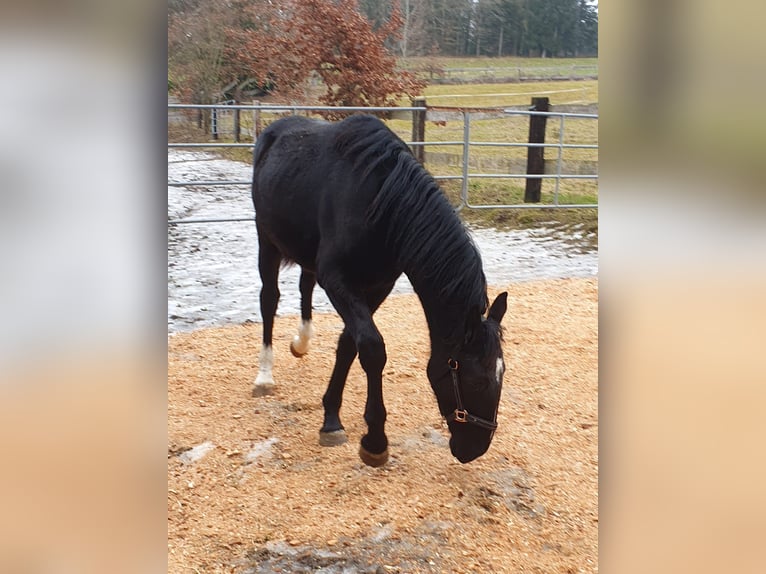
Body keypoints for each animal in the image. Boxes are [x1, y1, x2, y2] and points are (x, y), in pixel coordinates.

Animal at [252, 113, 510, 468]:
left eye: (502, 374)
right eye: (477, 380)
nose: (474, 449)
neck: (382, 205)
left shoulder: (378, 285)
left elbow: (349, 345)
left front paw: (331, 417)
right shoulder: (337, 280)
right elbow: (372, 349)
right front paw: (374, 440)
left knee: (305, 285)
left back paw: (302, 342)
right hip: (266, 239)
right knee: (269, 300)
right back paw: (264, 376)